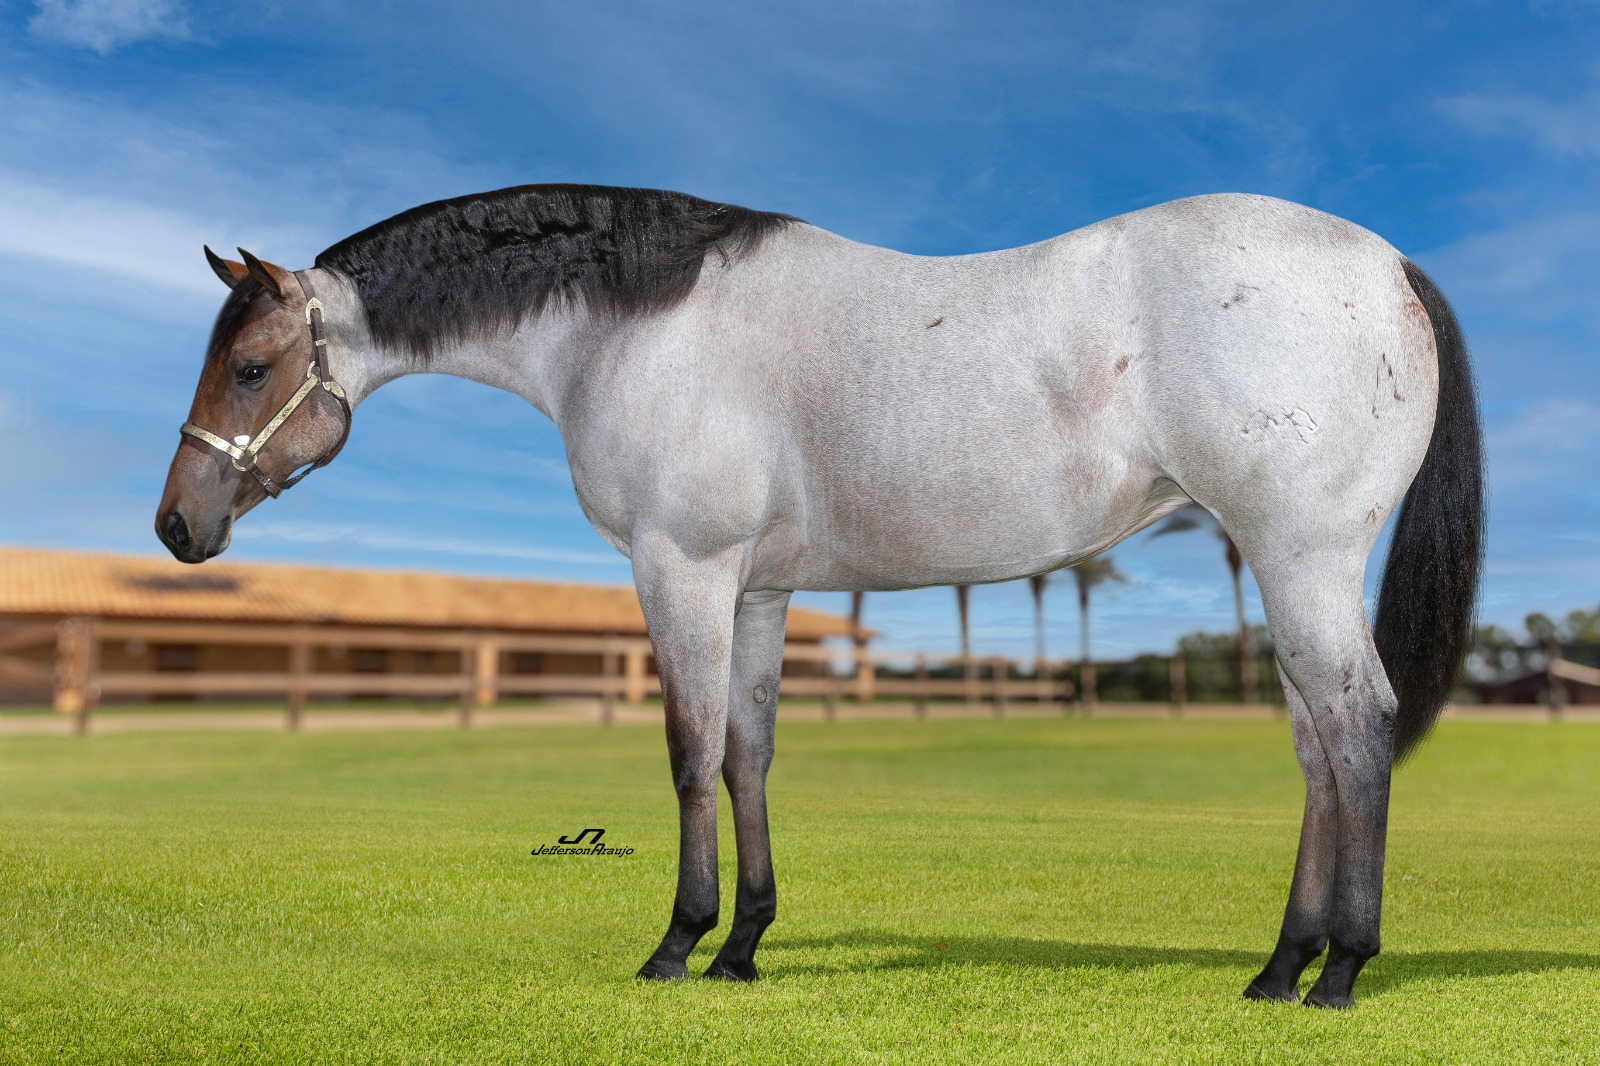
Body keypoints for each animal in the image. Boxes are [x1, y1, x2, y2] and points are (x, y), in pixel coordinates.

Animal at [152, 182, 1484, 1005]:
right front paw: (744, 945)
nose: (177, 525)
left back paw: (1340, 972)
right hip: (1282, 559)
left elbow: (688, 749)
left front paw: (676, 944)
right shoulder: (757, 589)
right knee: (1317, 746)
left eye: (253, 365)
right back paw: (1277, 965)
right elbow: (749, 749)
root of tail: (1388, 262)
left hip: (1300, 553)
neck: (637, 323)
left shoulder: (681, 567)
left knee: (1357, 729)